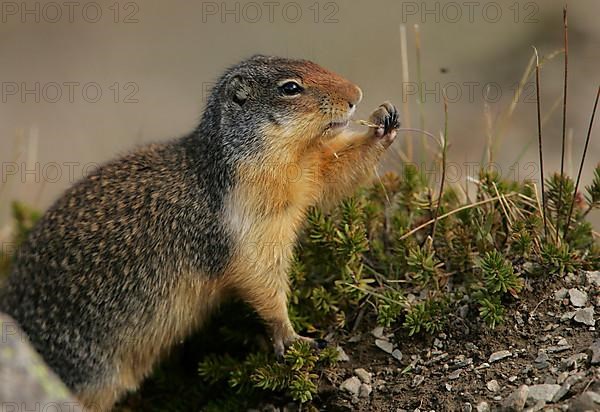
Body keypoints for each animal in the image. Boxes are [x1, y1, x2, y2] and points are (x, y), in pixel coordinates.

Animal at [0, 55, 398, 412]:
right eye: (290, 88)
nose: (357, 94)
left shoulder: (305, 172)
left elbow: (332, 173)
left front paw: (384, 120)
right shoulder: (247, 221)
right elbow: (261, 276)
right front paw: (293, 336)